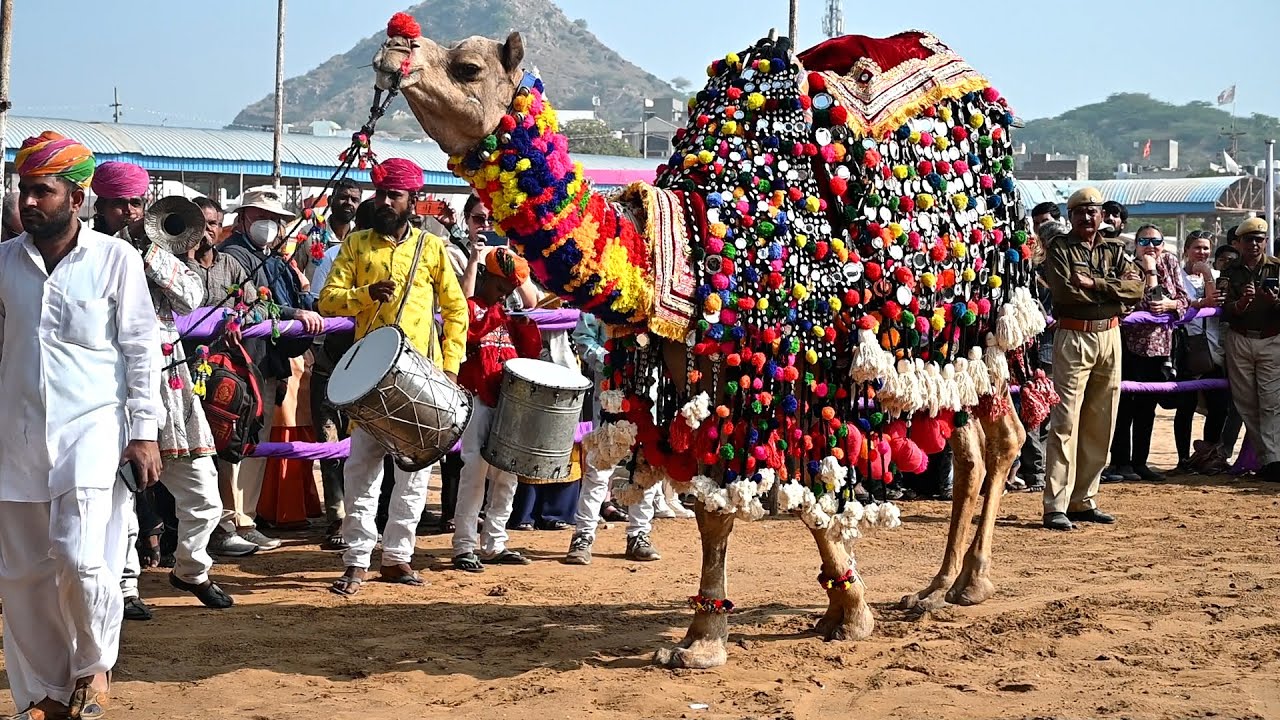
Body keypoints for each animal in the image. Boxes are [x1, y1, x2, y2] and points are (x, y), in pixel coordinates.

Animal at [372, 12, 1040, 669]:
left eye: (467, 67)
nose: (394, 47)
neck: (685, 247)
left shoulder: (797, 374)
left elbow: (807, 499)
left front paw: (846, 615)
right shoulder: (696, 372)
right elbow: (713, 509)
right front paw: (708, 636)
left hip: (985, 324)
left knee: (1004, 436)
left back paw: (971, 583)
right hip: (936, 353)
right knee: (968, 448)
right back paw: (935, 587)